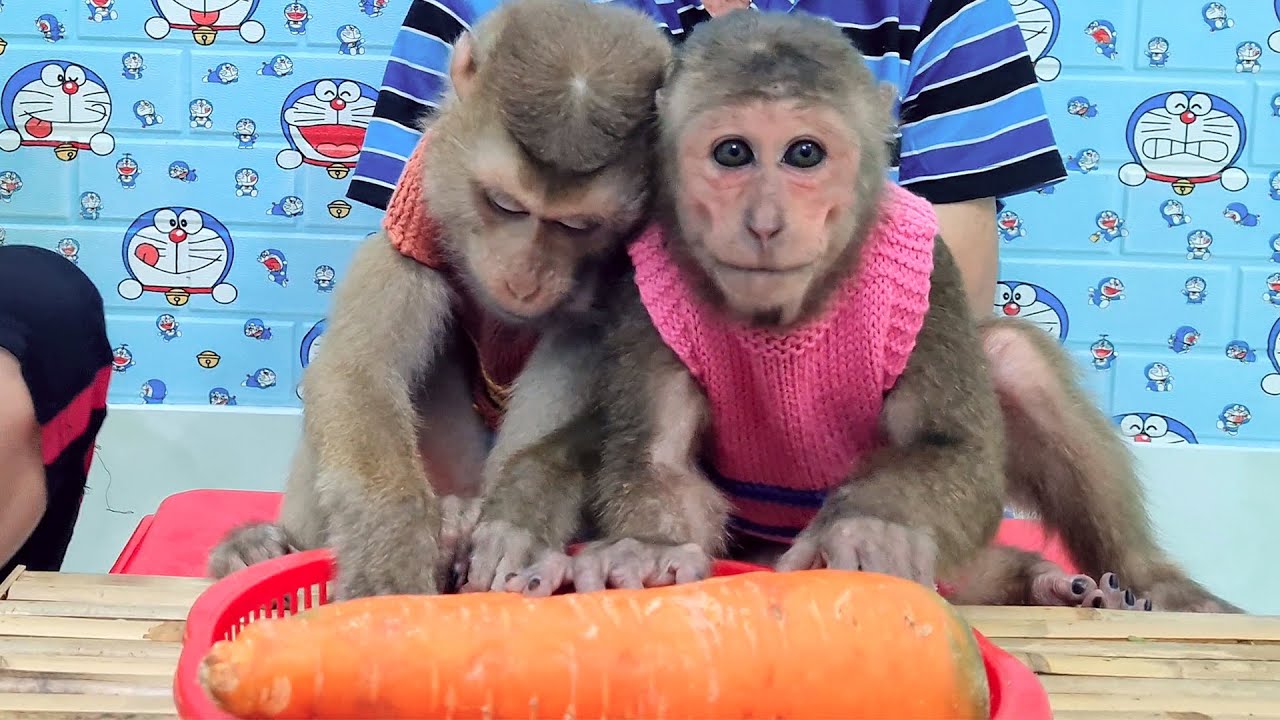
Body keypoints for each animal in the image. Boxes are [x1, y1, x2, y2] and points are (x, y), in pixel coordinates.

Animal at [206, 0, 673, 600]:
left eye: (577, 225)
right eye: (504, 204)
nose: (524, 278)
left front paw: (520, 518)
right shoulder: (415, 208)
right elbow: (358, 372)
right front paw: (389, 564)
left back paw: (468, 524)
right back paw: (264, 548)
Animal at [499, 9, 1240, 615]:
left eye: (804, 154)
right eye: (732, 153)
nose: (765, 223)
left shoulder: (928, 273)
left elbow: (951, 448)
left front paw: (868, 527)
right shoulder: (648, 289)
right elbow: (659, 461)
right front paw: (650, 544)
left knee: (1012, 360)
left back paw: (1125, 580)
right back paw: (1035, 581)